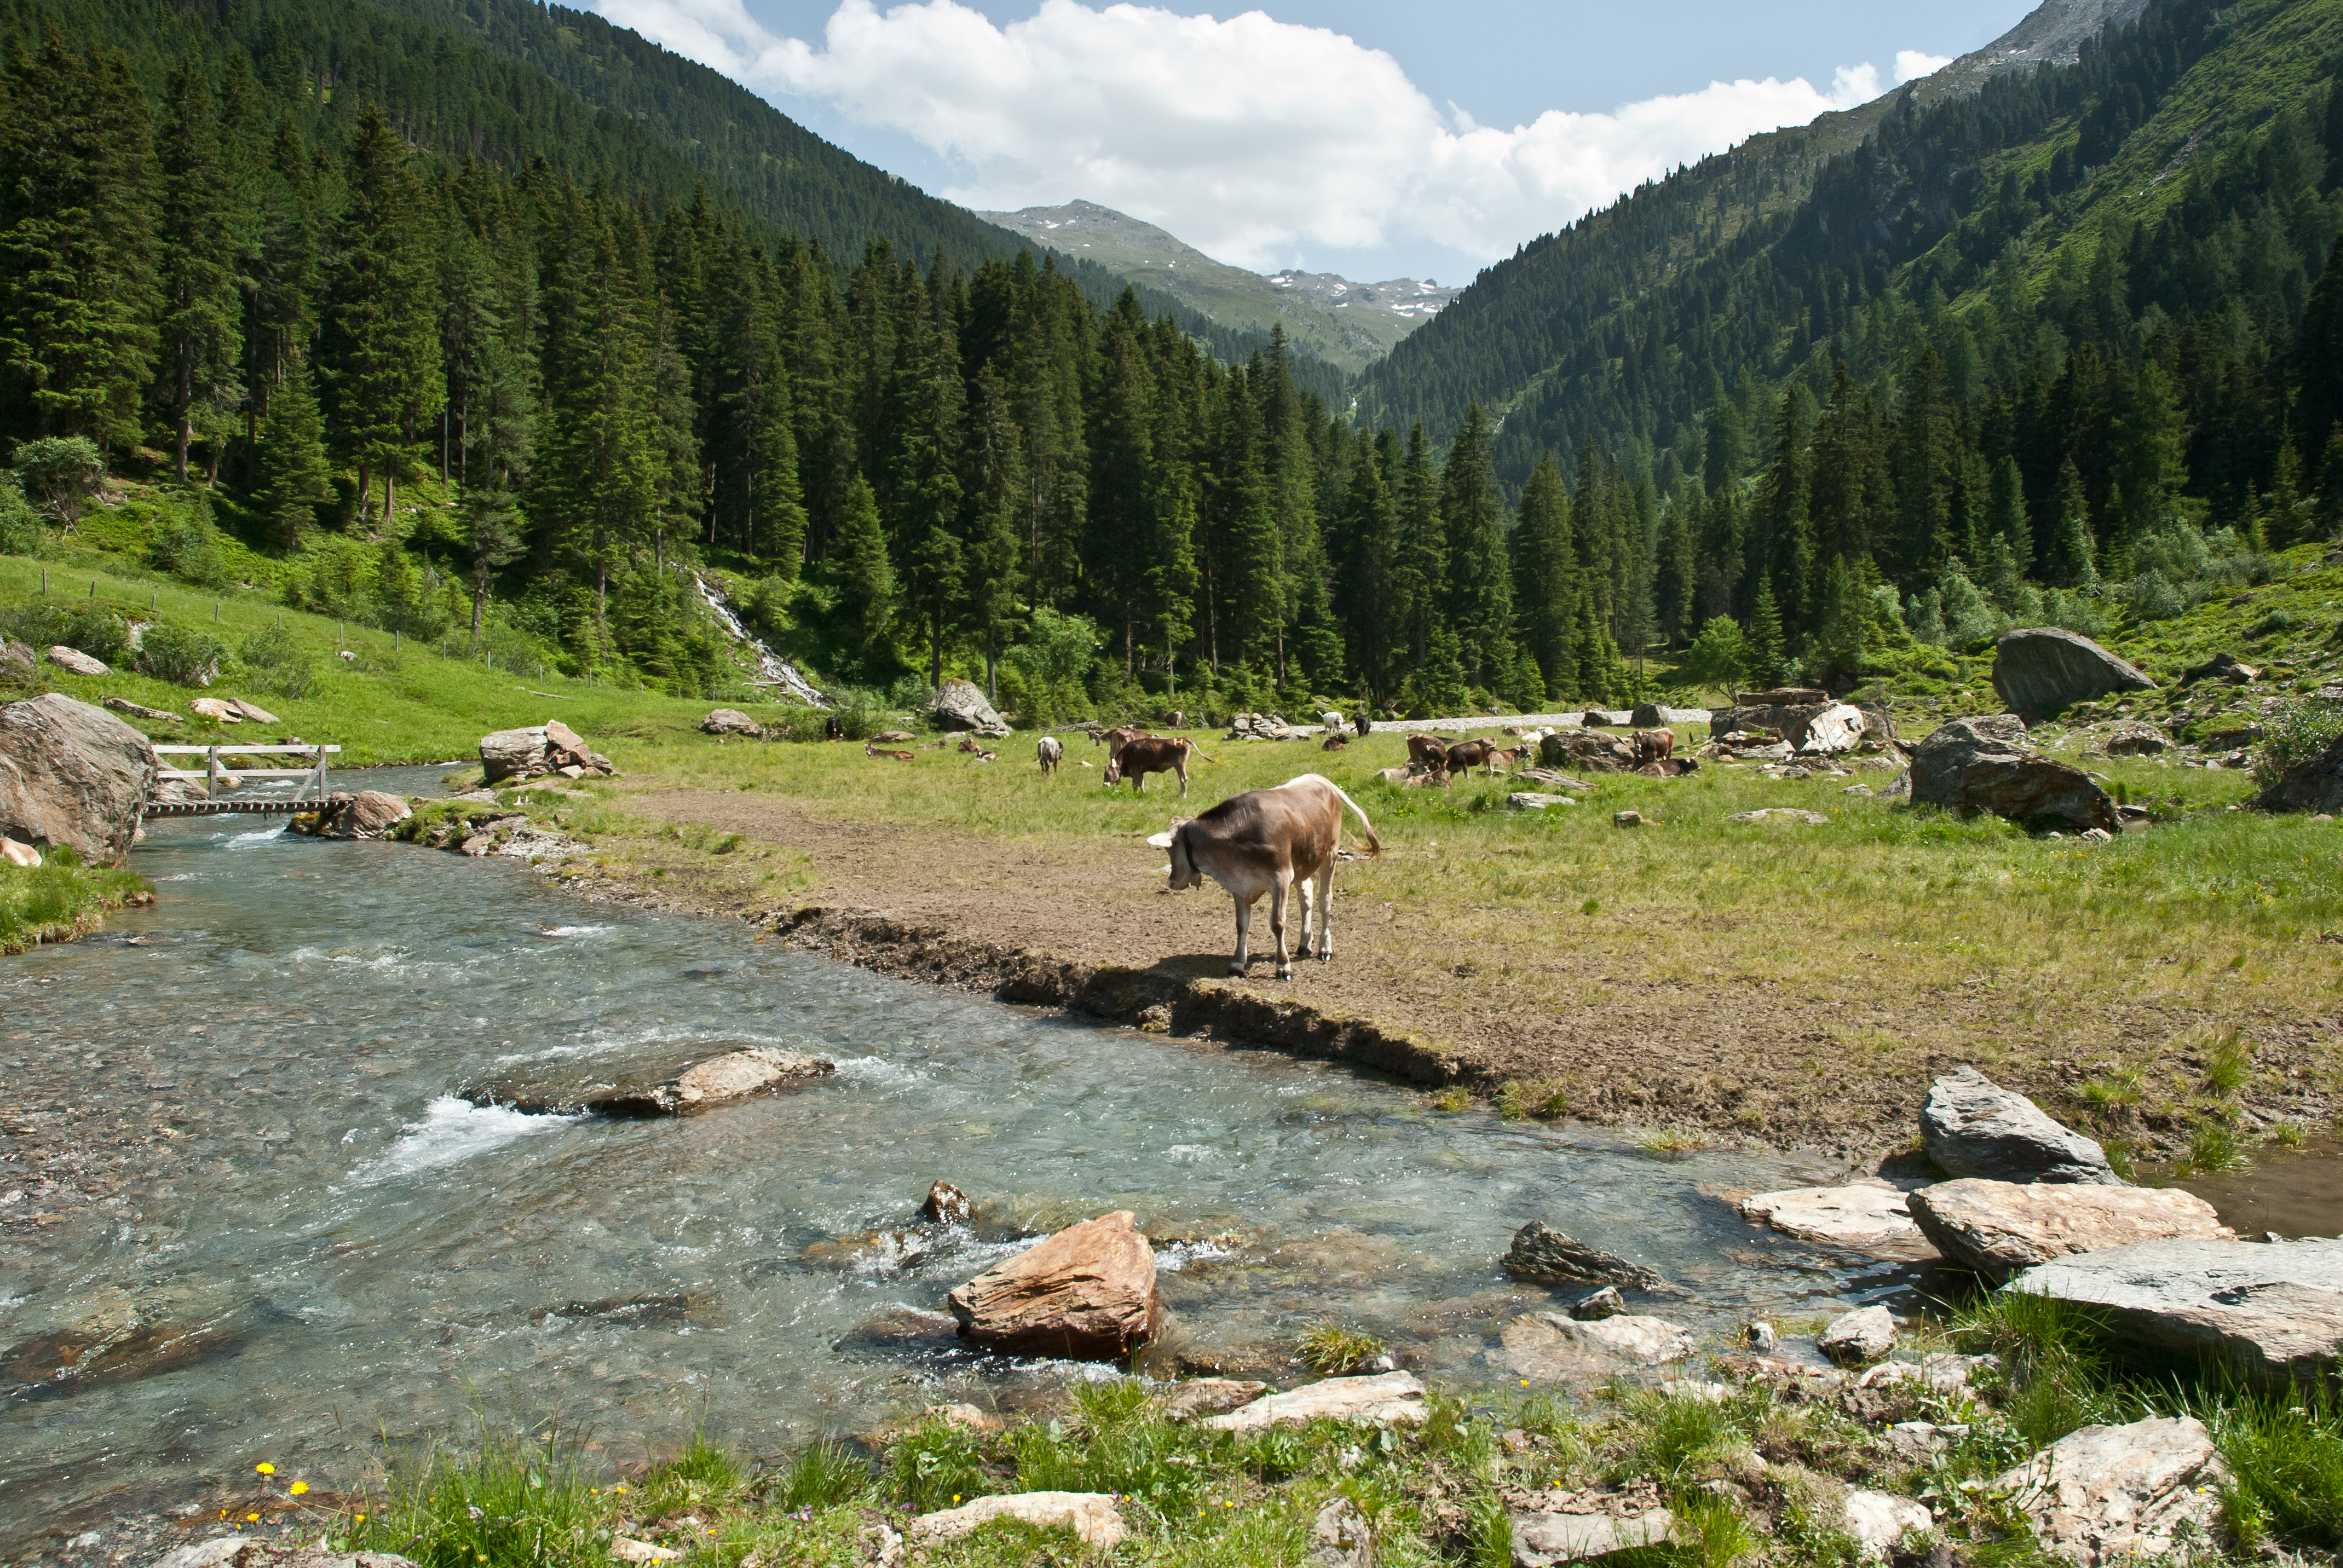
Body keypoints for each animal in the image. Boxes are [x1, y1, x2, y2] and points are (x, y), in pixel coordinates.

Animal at [1101, 736, 1208, 797]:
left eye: (1108, 773)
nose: (1104, 785)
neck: (1126, 754)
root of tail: (1183, 739)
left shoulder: (1135, 771)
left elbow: (1135, 785)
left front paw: (1135, 795)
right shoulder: (1141, 772)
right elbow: (1141, 784)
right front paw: (1143, 794)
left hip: (1179, 764)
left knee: (1183, 779)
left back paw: (1183, 796)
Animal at [1148, 773, 1377, 979]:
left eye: (1169, 849)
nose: (1171, 882)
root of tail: (1319, 778)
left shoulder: (1281, 879)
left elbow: (1277, 923)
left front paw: (1283, 966)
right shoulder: (1240, 885)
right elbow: (1241, 924)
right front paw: (1238, 964)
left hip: (1330, 854)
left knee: (1325, 901)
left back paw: (1324, 947)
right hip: (1303, 861)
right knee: (1307, 897)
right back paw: (1305, 943)